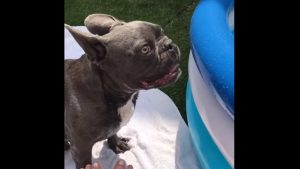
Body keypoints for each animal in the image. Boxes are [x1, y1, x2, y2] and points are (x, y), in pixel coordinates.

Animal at [64, 14, 182, 169]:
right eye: (145, 50)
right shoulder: (81, 148)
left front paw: (116, 144)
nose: (169, 44)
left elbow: (113, 133)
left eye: (162, 31)